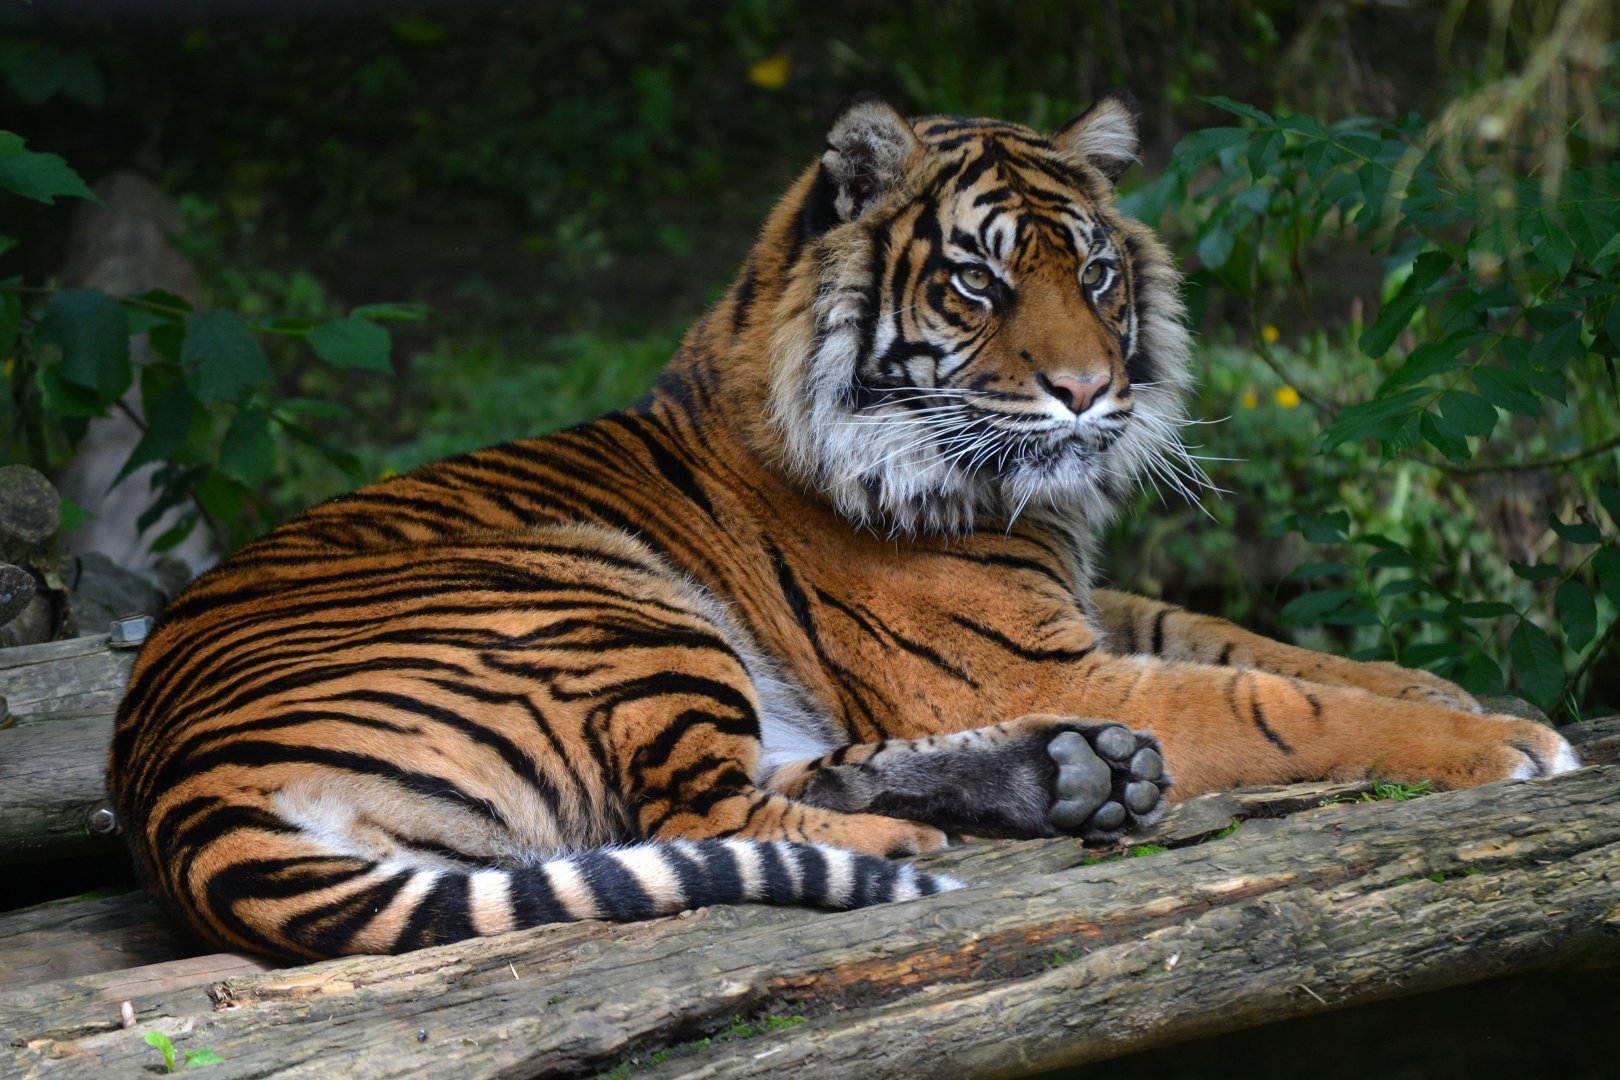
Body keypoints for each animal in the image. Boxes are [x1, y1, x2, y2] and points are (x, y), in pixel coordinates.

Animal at [108, 92, 1581, 962]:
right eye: (981, 280)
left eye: (1099, 270)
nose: (1089, 390)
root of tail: (173, 792)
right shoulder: (1026, 657)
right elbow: (1278, 705)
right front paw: (1501, 740)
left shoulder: (1085, 613)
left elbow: (1250, 641)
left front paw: (1439, 683)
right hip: (597, 599)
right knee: (701, 806)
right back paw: (929, 835)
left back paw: (1064, 776)